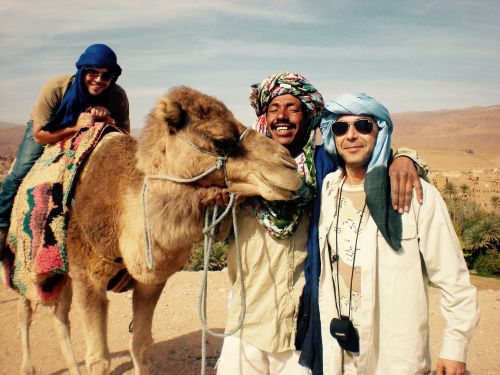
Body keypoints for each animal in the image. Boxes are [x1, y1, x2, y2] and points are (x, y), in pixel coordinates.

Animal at [17, 86, 300, 375]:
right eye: (221, 141)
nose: (289, 166)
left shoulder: (150, 280)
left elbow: (141, 345)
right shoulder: (87, 275)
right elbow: (99, 360)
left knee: (59, 316)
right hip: (27, 263)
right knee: (27, 309)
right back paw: (27, 366)